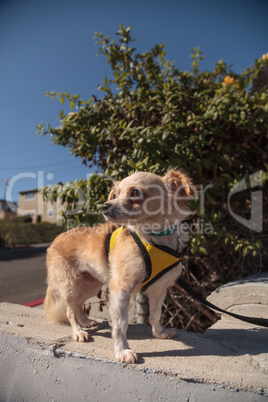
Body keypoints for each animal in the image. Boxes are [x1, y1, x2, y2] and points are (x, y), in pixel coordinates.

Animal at [45, 168, 194, 362]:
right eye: (115, 194)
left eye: (135, 193)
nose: (104, 206)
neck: (154, 238)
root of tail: (54, 240)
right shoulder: (121, 289)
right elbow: (120, 324)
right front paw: (122, 350)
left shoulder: (159, 289)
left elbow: (155, 314)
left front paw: (159, 333)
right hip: (70, 285)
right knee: (70, 310)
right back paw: (78, 331)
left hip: (90, 284)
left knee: (78, 304)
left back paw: (85, 321)